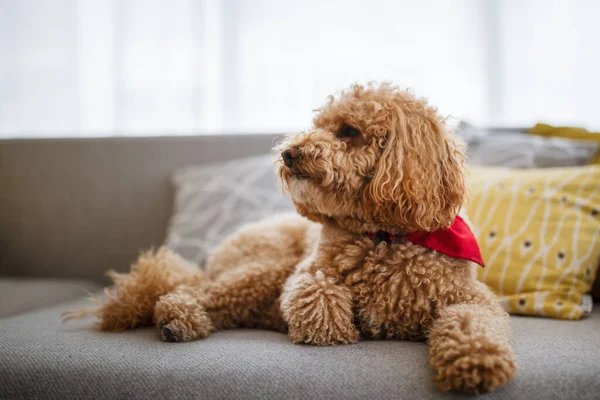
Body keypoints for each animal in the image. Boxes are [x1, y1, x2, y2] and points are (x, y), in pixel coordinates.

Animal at [64, 83, 516, 392]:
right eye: (318, 125)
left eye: (348, 131)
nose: (289, 153)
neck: (383, 235)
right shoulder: (305, 272)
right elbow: (319, 293)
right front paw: (332, 332)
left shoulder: (470, 299)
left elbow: (473, 322)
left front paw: (477, 362)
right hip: (266, 266)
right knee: (192, 291)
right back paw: (177, 318)